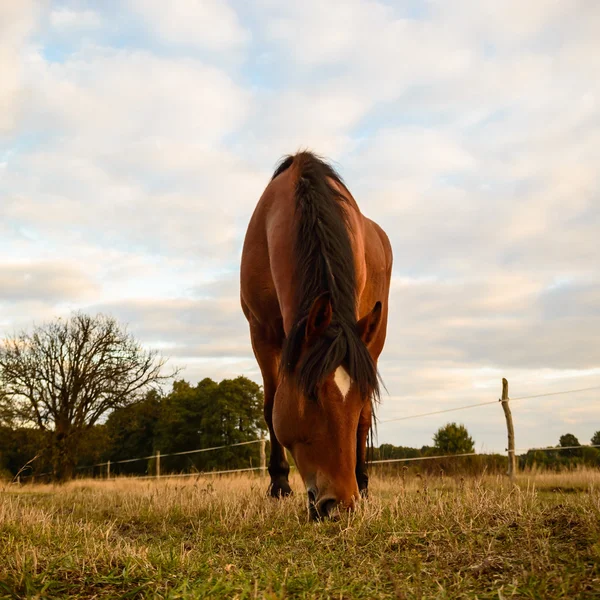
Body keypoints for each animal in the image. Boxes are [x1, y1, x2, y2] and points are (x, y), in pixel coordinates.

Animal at [240, 151, 394, 520]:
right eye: (310, 395)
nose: (340, 505)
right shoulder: (261, 332)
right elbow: (270, 405)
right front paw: (279, 486)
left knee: (365, 421)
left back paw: (363, 481)